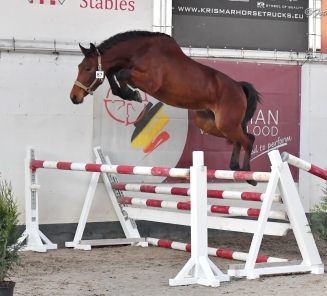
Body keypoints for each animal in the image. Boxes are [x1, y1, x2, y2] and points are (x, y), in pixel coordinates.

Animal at [70, 30, 262, 185]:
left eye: (88, 68)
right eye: (79, 67)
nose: (74, 97)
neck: (141, 51)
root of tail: (238, 86)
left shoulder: (150, 81)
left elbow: (121, 73)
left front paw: (133, 94)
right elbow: (113, 73)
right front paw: (129, 94)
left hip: (225, 124)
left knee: (248, 139)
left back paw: (249, 175)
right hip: (210, 124)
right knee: (241, 138)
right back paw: (236, 167)